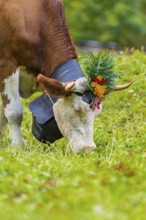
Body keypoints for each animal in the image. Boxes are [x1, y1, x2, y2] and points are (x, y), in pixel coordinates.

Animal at [0, 0, 132, 151]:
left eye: (97, 112)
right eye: (77, 109)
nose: (88, 149)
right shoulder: (7, 63)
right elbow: (14, 112)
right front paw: (18, 145)